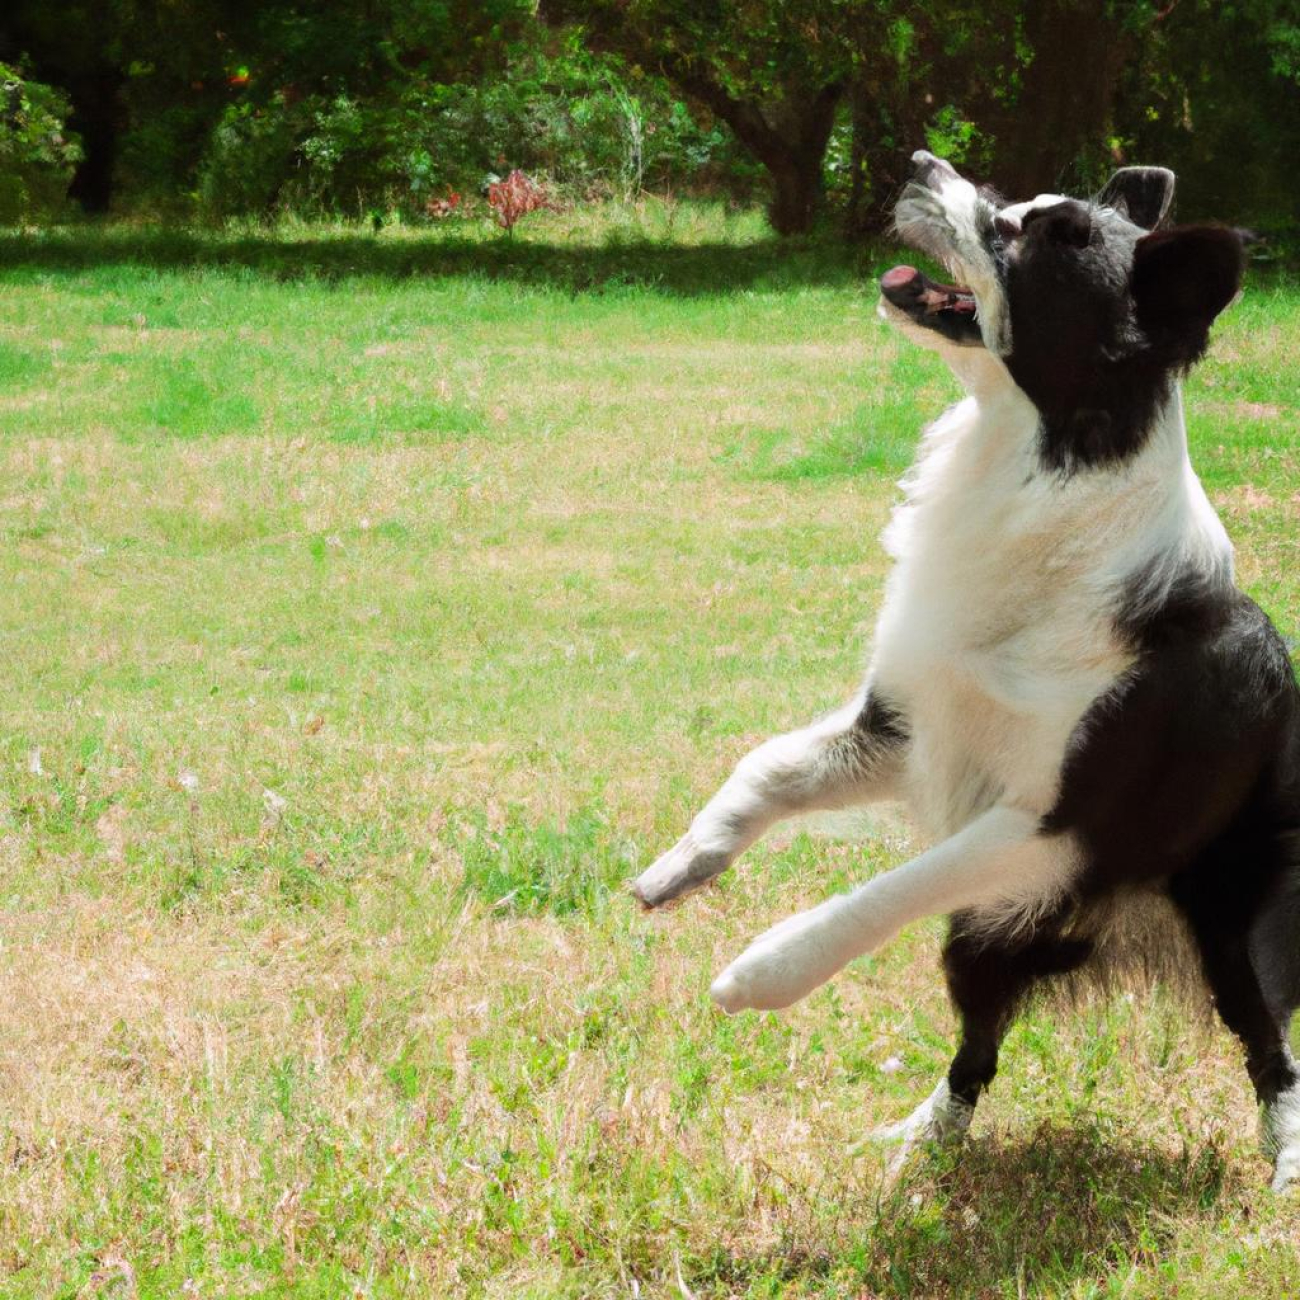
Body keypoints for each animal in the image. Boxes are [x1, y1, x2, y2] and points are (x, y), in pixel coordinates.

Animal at [634, 152, 1300, 1190]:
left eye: (1033, 237)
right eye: (1015, 205)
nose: (923, 161)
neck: (1038, 458)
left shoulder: (1060, 826)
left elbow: (890, 890)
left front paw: (760, 972)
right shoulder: (904, 725)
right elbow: (765, 764)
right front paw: (685, 861)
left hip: (1235, 924)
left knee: (1270, 1045)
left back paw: (1287, 1164)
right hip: (987, 939)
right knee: (978, 1046)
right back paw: (920, 1143)